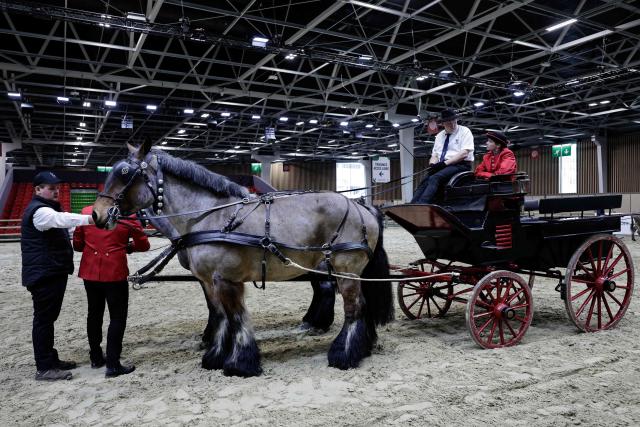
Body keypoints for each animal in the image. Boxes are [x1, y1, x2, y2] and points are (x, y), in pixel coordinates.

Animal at [93, 139, 393, 377]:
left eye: (125, 173)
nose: (97, 214)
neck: (209, 216)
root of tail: (361, 205)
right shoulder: (209, 281)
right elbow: (221, 317)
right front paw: (215, 356)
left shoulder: (226, 279)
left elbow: (236, 318)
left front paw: (240, 363)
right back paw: (361, 346)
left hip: (345, 269)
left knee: (354, 308)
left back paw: (344, 354)